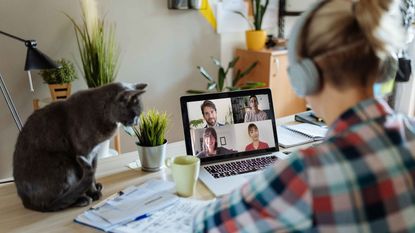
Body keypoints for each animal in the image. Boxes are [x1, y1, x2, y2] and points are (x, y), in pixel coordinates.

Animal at [13, 83, 146, 212]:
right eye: (135, 114)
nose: (137, 122)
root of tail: (26, 202)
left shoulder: (94, 154)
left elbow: (93, 172)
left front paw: (95, 188)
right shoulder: (84, 153)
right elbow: (88, 174)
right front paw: (93, 193)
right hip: (62, 162)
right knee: (53, 203)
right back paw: (81, 199)